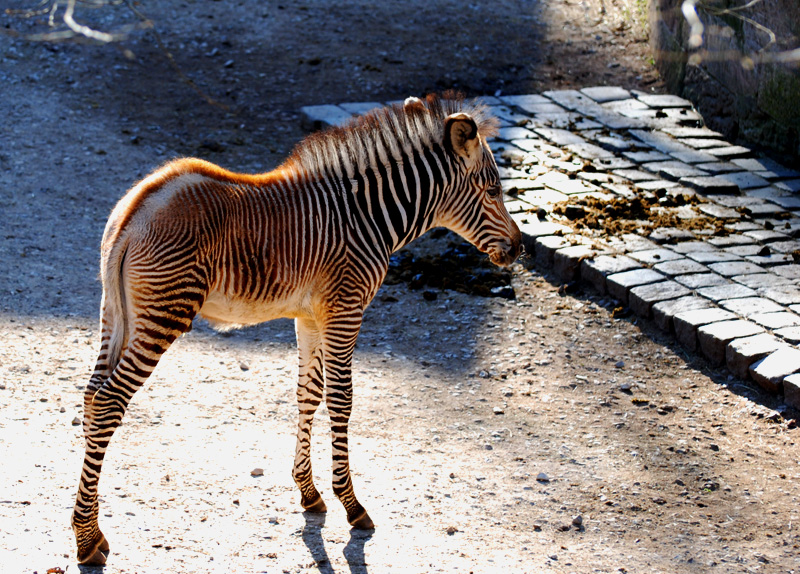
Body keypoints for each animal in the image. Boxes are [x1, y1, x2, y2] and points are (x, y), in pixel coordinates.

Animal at [73, 94, 524, 568]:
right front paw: (351, 504)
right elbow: (342, 400)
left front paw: (309, 492)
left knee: (91, 396)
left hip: (116, 313)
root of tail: (135, 211)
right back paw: (86, 541)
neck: (367, 216)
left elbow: (308, 393)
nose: (520, 249)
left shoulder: (309, 317)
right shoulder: (346, 309)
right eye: (493, 191)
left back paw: (91, 528)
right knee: (108, 401)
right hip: (164, 313)